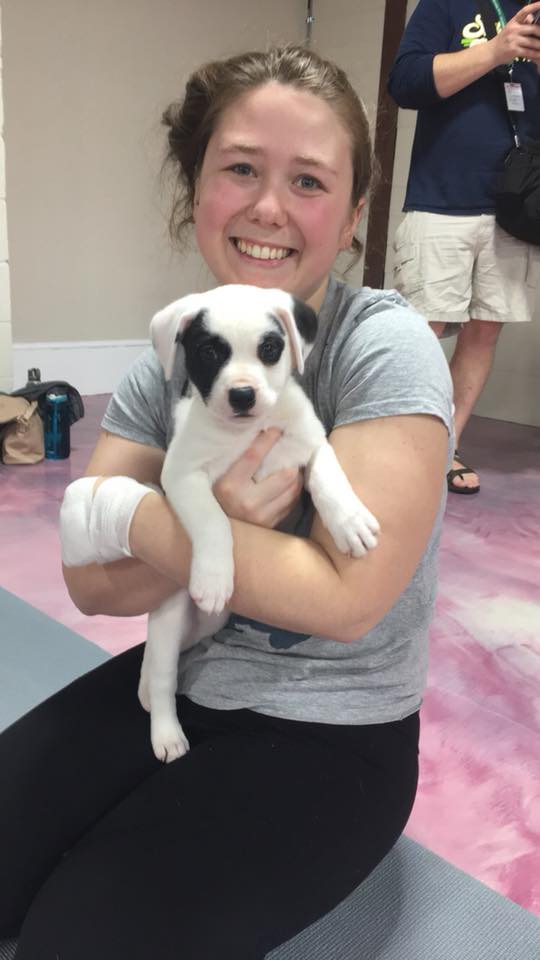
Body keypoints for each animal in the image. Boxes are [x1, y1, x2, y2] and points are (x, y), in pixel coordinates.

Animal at [137, 284, 380, 762]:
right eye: (210, 352)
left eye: (270, 349)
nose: (243, 395)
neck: (246, 432)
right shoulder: (183, 476)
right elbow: (214, 521)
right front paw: (214, 576)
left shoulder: (311, 444)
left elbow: (329, 477)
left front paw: (349, 520)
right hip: (170, 619)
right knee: (161, 675)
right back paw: (165, 732)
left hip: (204, 625)